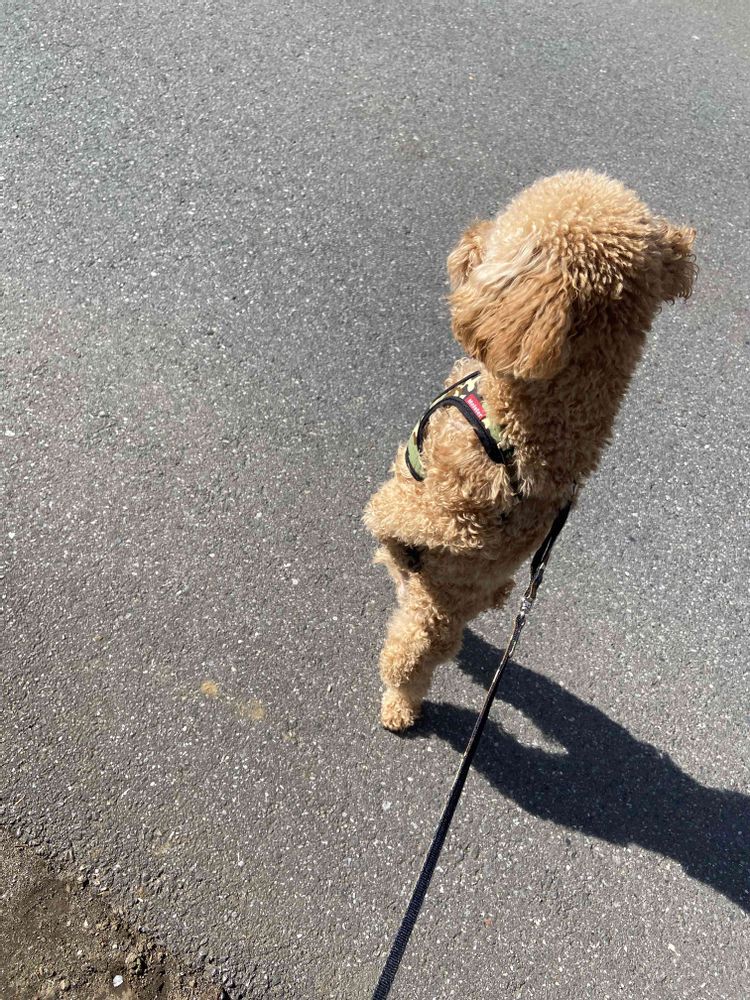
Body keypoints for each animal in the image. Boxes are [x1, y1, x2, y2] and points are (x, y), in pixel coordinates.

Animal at [363, 170, 695, 732]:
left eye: (501, 239)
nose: (470, 233)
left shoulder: (449, 515)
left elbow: (392, 513)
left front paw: (382, 524)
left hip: (427, 616)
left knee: (410, 655)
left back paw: (399, 705)